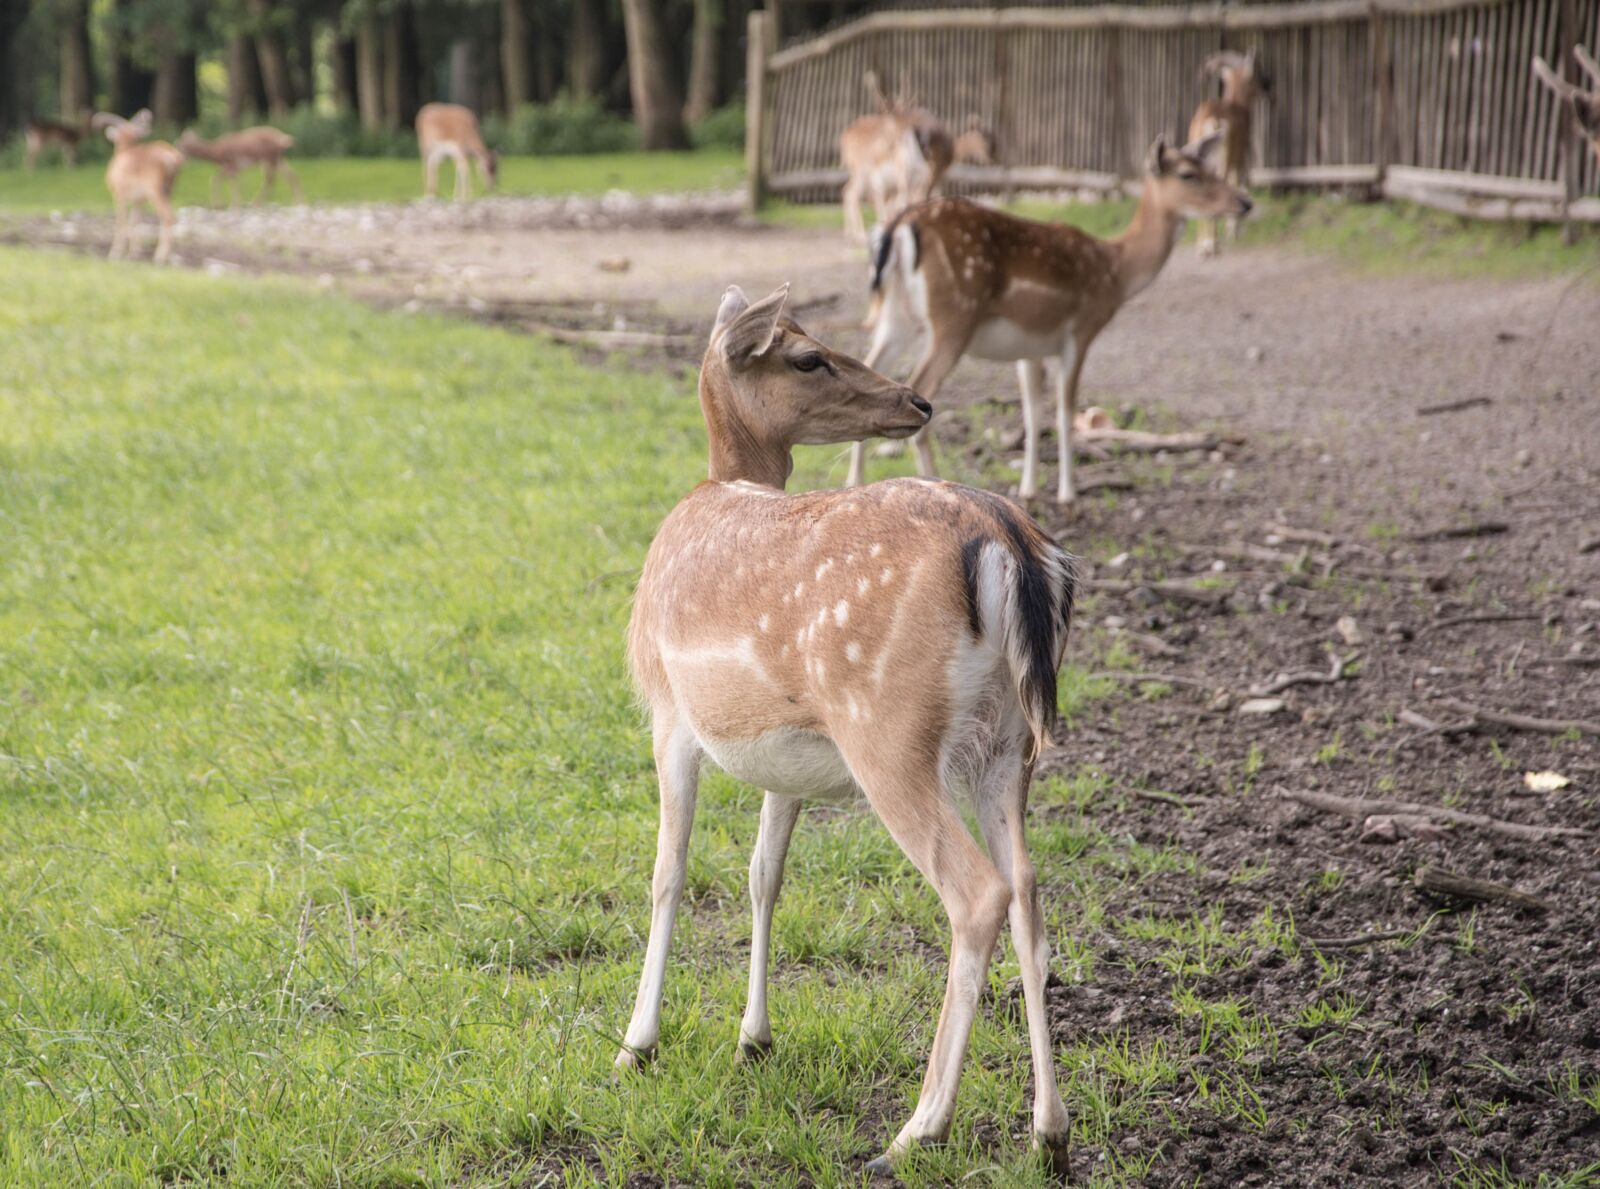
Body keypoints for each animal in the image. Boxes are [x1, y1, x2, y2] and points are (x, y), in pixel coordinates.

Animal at [91, 110, 184, 264]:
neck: (125, 151)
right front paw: (134, 253)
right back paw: (172, 255)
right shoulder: (139, 199)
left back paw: (160, 256)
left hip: (155, 189)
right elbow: (135, 221)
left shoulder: (119, 193)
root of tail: (170, 157)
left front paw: (115, 253)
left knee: (168, 216)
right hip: (170, 188)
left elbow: (121, 220)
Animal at [618, 282, 1080, 1174]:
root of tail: (1008, 547)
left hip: (887, 729)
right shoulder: (788, 756)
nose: (915, 400)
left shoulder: (668, 711)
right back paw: (1050, 1133)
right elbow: (764, 874)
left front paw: (637, 1044)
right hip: (1009, 745)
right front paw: (753, 1037)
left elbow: (668, 872)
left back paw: (916, 1129)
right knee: (1031, 896)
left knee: (979, 894)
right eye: (808, 356)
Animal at [840, 74, 955, 242]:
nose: (888, 146)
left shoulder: (917, 182)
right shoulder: (901, 181)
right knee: (852, 194)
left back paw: (851, 234)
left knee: (849, 192)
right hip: (861, 173)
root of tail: (844, 137)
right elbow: (898, 204)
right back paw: (859, 235)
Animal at [848, 133, 1250, 505]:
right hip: (954, 317)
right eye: (1189, 174)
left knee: (872, 366)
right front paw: (1067, 495)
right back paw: (934, 484)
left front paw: (1029, 490)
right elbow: (1065, 409)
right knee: (921, 389)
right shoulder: (1081, 328)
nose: (1245, 202)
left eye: (1210, 167)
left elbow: (1032, 411)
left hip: (896, 316)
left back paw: (854, 485)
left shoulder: (1030, 346)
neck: (1116, 271)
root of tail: (900, 225)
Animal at [1187, 50, 1268, 257]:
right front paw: (1234, 230)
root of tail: (1213, 120)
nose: (1266, 87)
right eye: (1257, 75)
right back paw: (1212, 245)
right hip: (1222, 162)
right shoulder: (1239, 161)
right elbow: (1237, 185)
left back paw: (1203, 246)